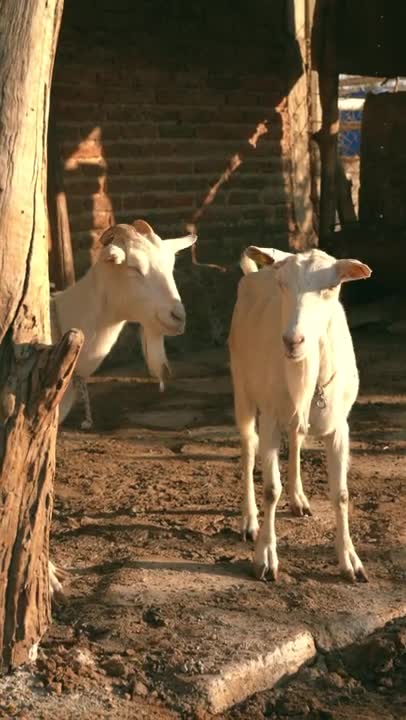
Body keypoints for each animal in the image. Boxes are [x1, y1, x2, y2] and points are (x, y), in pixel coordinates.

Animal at [229, 246, 372, 582]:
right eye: (282, 283)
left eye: (331, 287)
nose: (293, 341)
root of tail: (253, 273)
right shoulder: (269, 416)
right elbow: (270, 489)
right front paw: (265, 559)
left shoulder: (340, 425)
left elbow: (341, 493)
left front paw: (350, 561)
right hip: (242, 385)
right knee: (248, 446)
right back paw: (249, 521)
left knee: (295, 439)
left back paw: (298, 500)